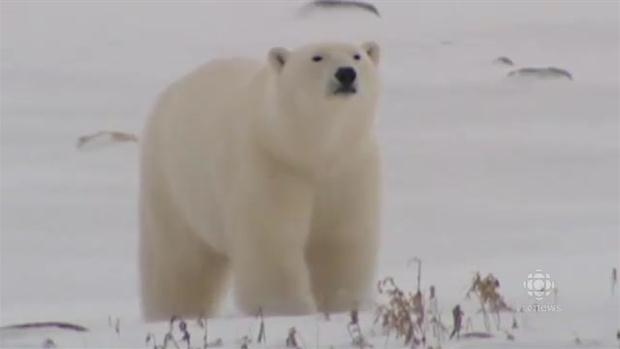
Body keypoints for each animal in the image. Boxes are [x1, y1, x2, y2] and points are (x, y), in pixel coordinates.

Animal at [141, 39, 382, 320]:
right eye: (317, 57)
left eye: (357, 56)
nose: (346, 74)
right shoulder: (270, 164)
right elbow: (272, 238)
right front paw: (287, 309)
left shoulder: (350, 169)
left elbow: (341, 238)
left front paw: (344, 306)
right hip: (172, 184)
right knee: (179, 259)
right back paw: (174, 313)